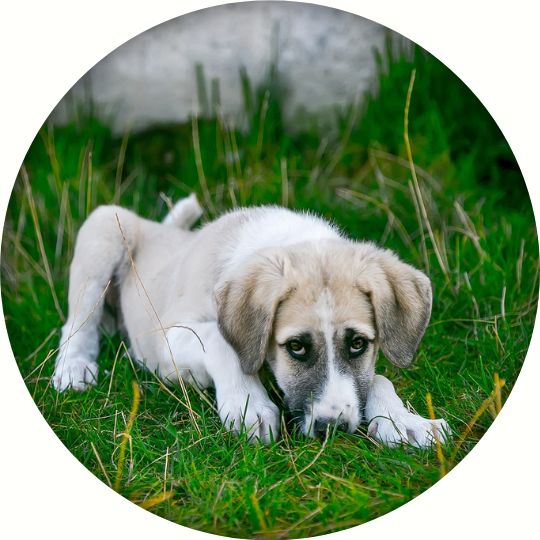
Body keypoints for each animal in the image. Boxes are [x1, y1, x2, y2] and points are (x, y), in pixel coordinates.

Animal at [51, 196, 448, 446]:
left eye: (358, 344)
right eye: (296, 347)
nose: (331, 428)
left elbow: (377, 378)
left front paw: (403, 421)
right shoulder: (169, 339)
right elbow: (220, 341)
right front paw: (248, 405)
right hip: (104, 227)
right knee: (77, 322)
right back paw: (74, 368)